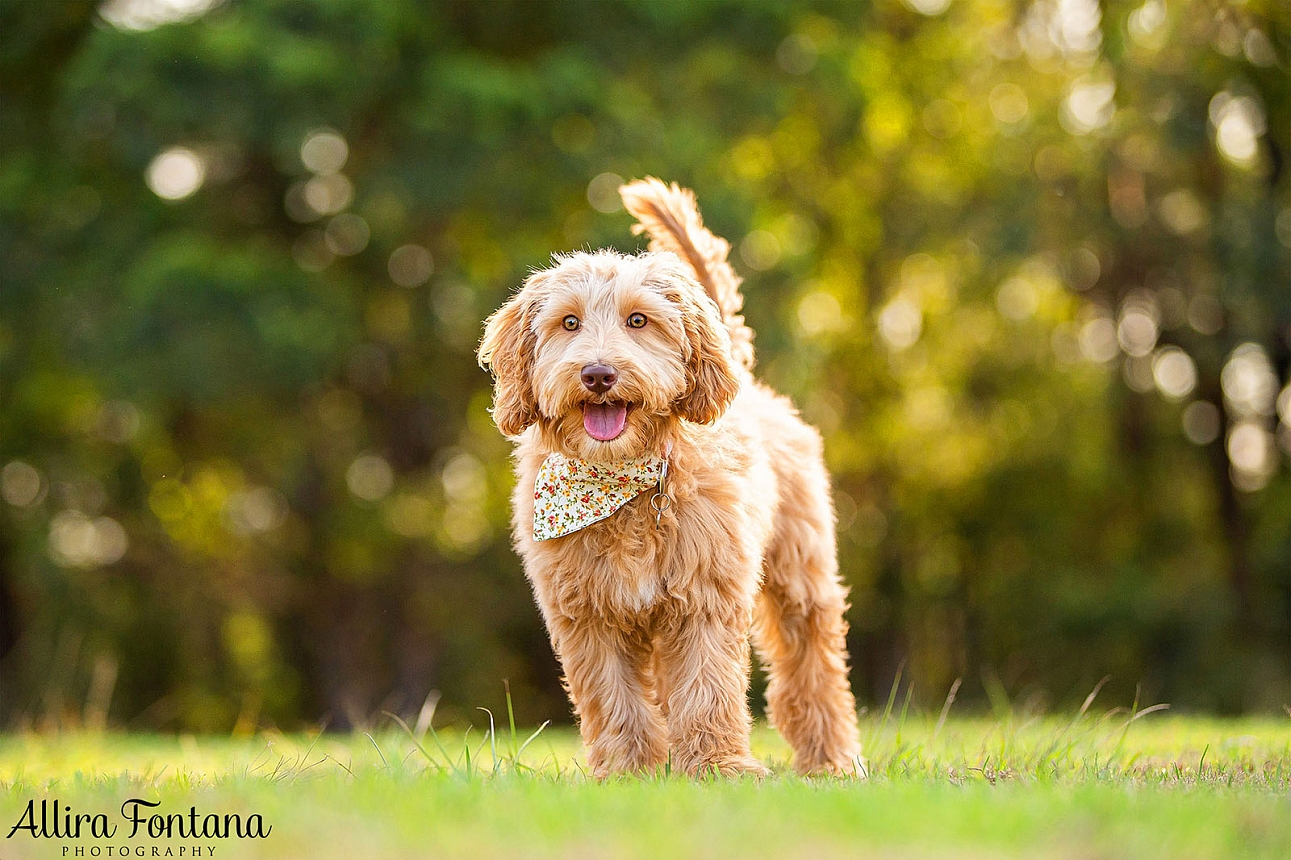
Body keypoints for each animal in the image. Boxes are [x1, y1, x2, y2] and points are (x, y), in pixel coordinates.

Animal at [475, 176, 857, 774]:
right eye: (569, 322)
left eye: (639, 320)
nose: (598, 374)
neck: (619, 483)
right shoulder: (587, 613)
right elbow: (613, 697)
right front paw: (629, 772)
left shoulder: (704, 595)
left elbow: (706, 686)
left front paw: (718, 768)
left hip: (802, 573)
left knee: (812, 663)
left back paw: (830, 760)